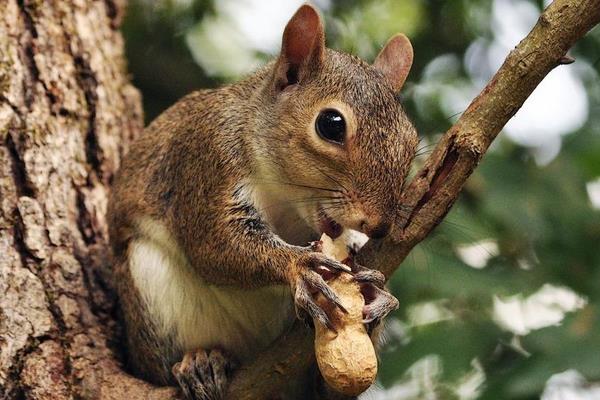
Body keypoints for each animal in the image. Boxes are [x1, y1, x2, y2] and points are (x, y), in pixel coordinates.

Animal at [108, 3, 418, 400]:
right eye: (331, 124)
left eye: (411, 140)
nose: (379, 226)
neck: (285, 200)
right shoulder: (205, 161)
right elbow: (214, 244)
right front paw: (298, 265)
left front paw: (375, 291)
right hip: (150, 293)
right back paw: (199, 363)